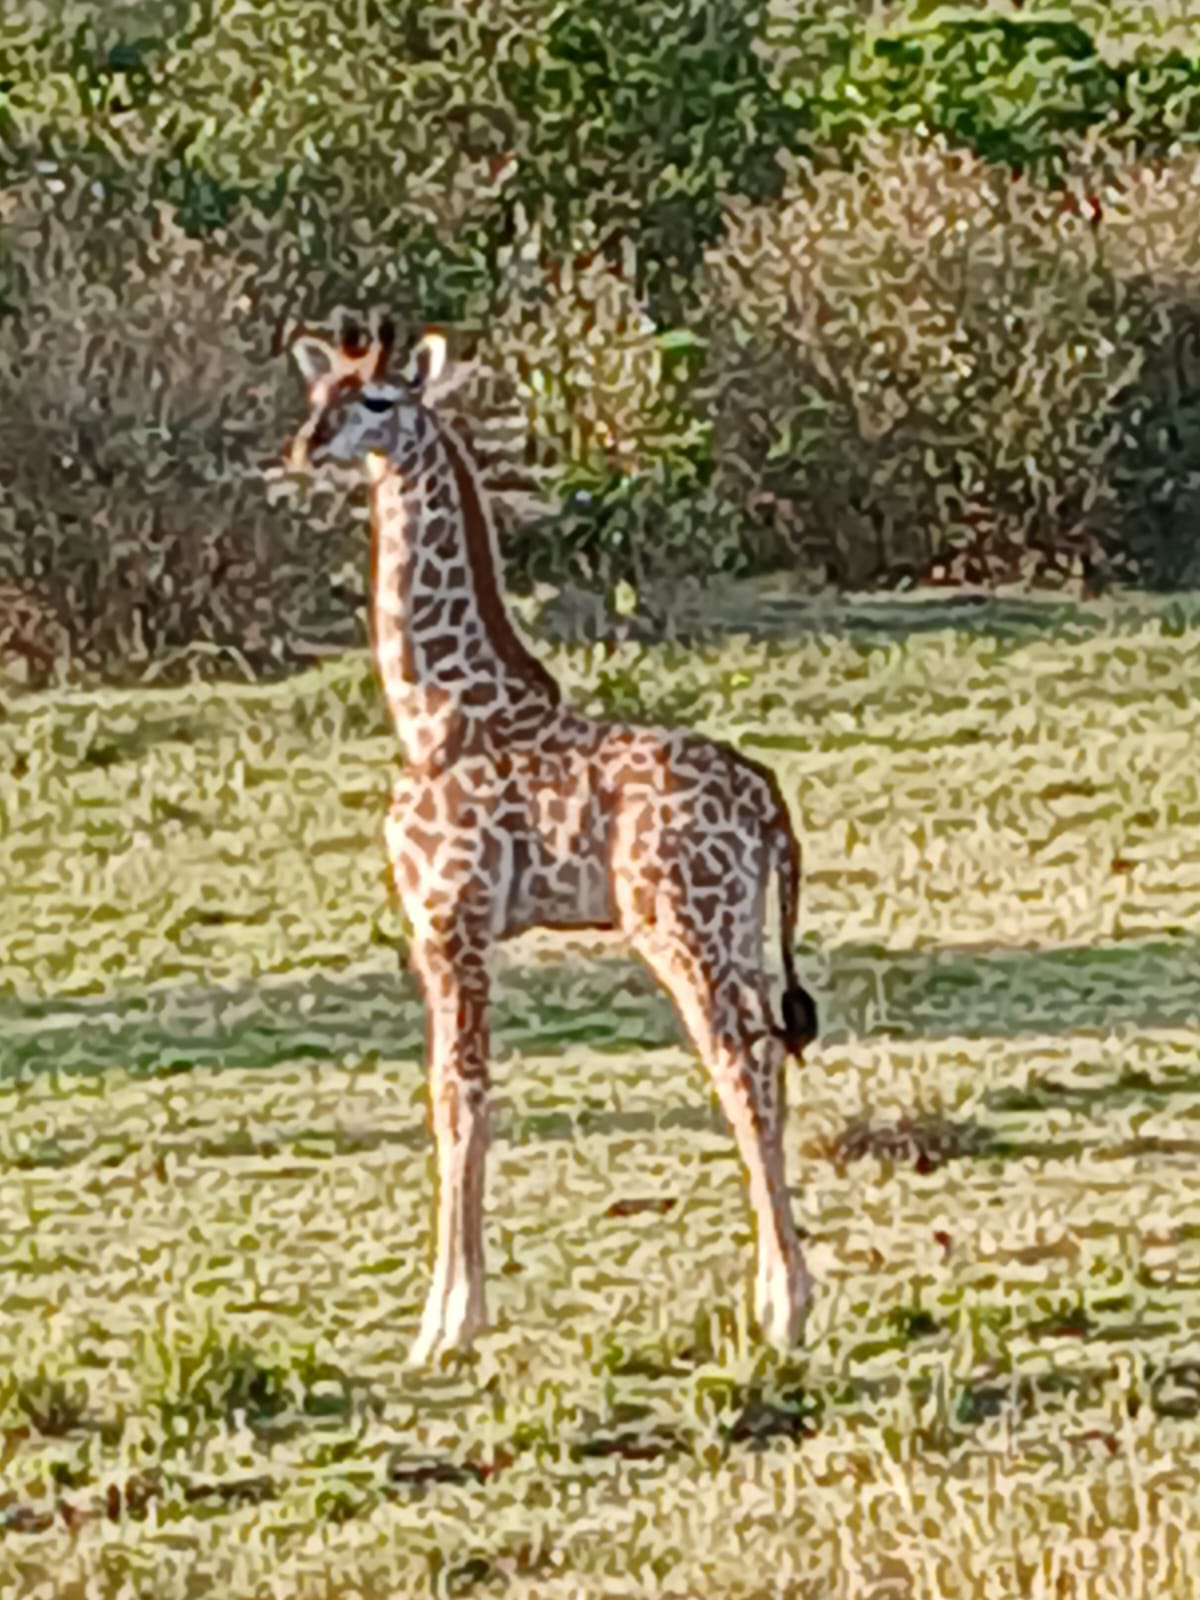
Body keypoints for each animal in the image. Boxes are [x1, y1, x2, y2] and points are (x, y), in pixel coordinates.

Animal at [286, 316, 819, 1365]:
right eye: (319, 392)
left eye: (378, 400)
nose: (303, 448)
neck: (436, 712)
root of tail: (765, 800)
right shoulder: (450, 933)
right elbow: (462, 1095)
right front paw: (455, 1313)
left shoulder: (448, 921)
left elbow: (458, 1096)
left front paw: (445, 1325)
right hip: (740, 933)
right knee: (772, 1062)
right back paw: (778, 1296)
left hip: (682, 931)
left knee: (739, 1065)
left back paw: (785, 1310)